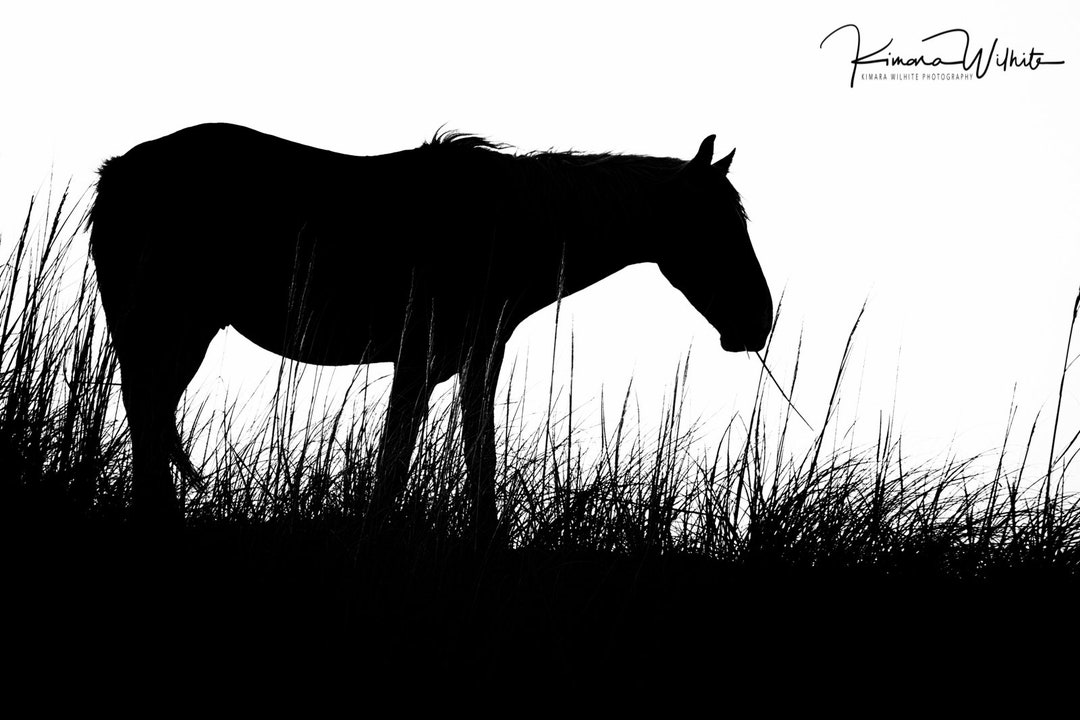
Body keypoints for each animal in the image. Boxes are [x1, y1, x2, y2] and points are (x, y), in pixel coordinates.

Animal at [88, 123, 772, 542]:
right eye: (714, 226)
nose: (759, 321)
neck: (506, 226)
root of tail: (120, 172)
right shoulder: (417, 358)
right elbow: (397, 455)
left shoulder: (475, 358)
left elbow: (478, 446)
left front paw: (486, 536)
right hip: (171, 323)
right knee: (147, 411)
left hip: (178, 330)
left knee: (149, 412)